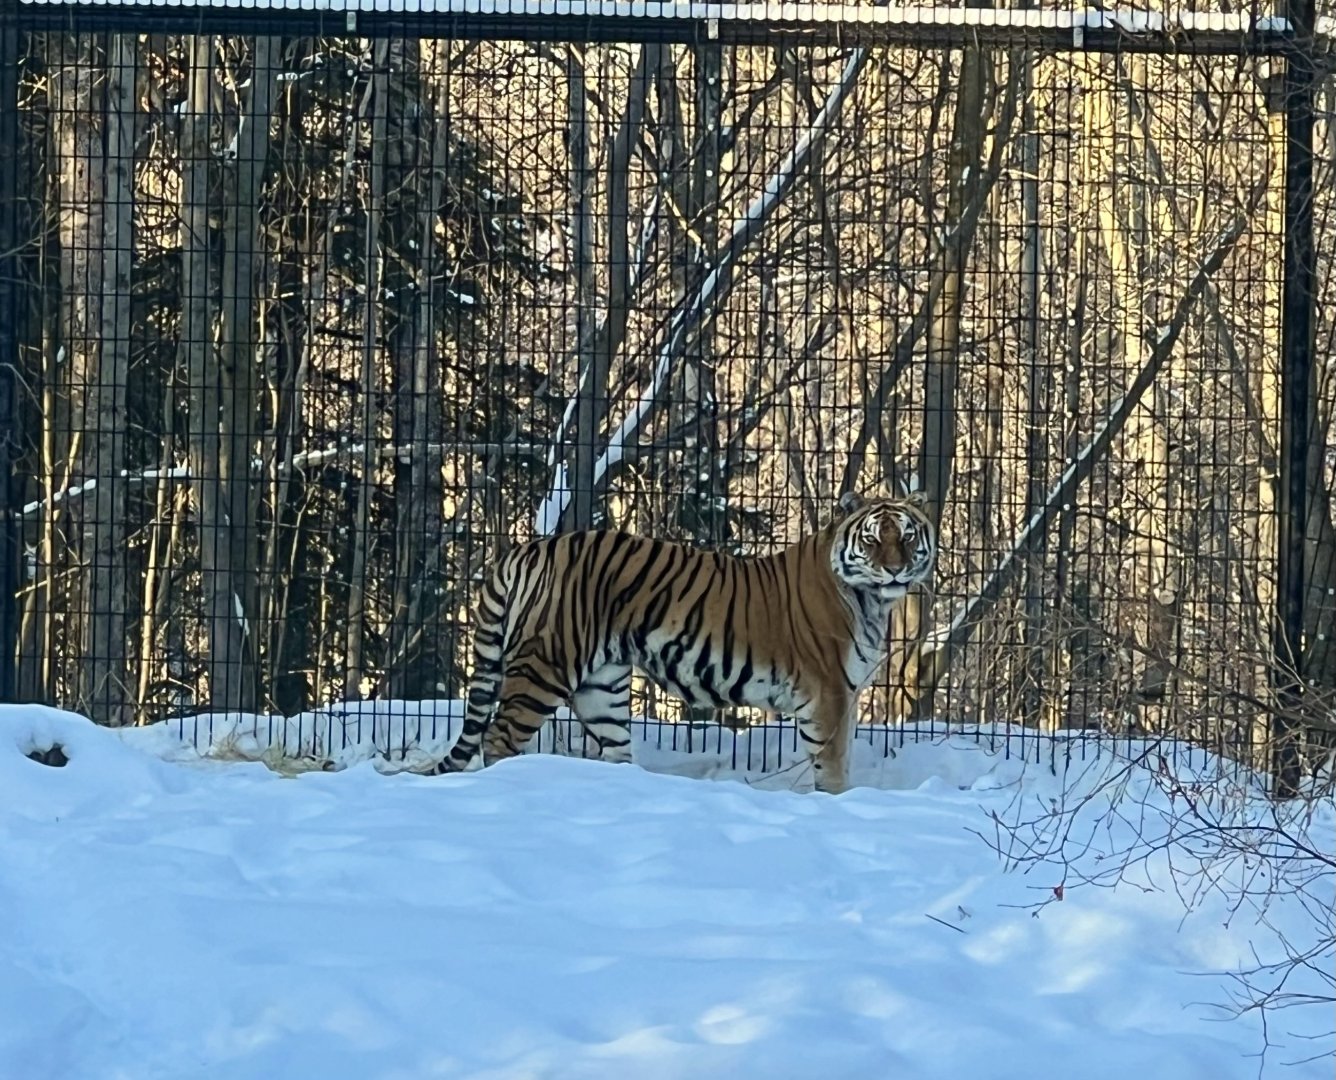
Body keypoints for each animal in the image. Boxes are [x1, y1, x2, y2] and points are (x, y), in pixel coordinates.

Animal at [427, 490, 937, 794]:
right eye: (872, 540)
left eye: (908, 537)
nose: (895, 569)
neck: (872, 601)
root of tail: (527, 549)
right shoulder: (828, 693)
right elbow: (832, 765)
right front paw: (837, 803)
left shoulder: (843, 695)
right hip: (544, 666)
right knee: (497, 738)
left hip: (601, 688)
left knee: (614, 750)